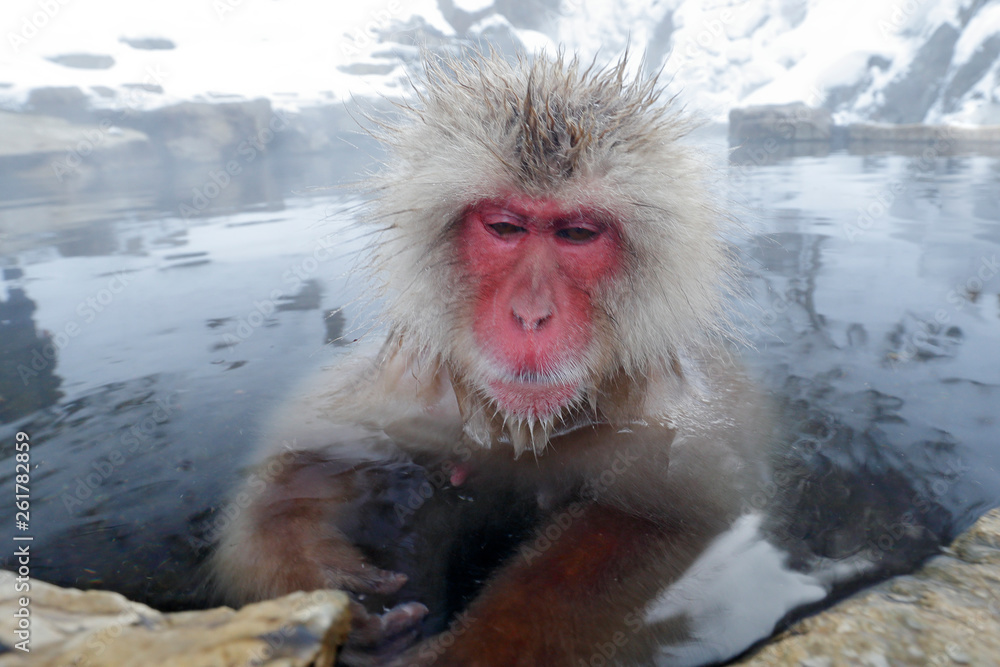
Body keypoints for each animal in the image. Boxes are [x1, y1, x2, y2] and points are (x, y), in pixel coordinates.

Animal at [211, 50, 787, 666]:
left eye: (577, 233)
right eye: (505, 227)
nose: (531, 315)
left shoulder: (680, 421)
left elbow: (669, 519)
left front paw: (471, 648)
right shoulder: (404, 391)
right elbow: (307, 462)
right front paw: (316, 570)